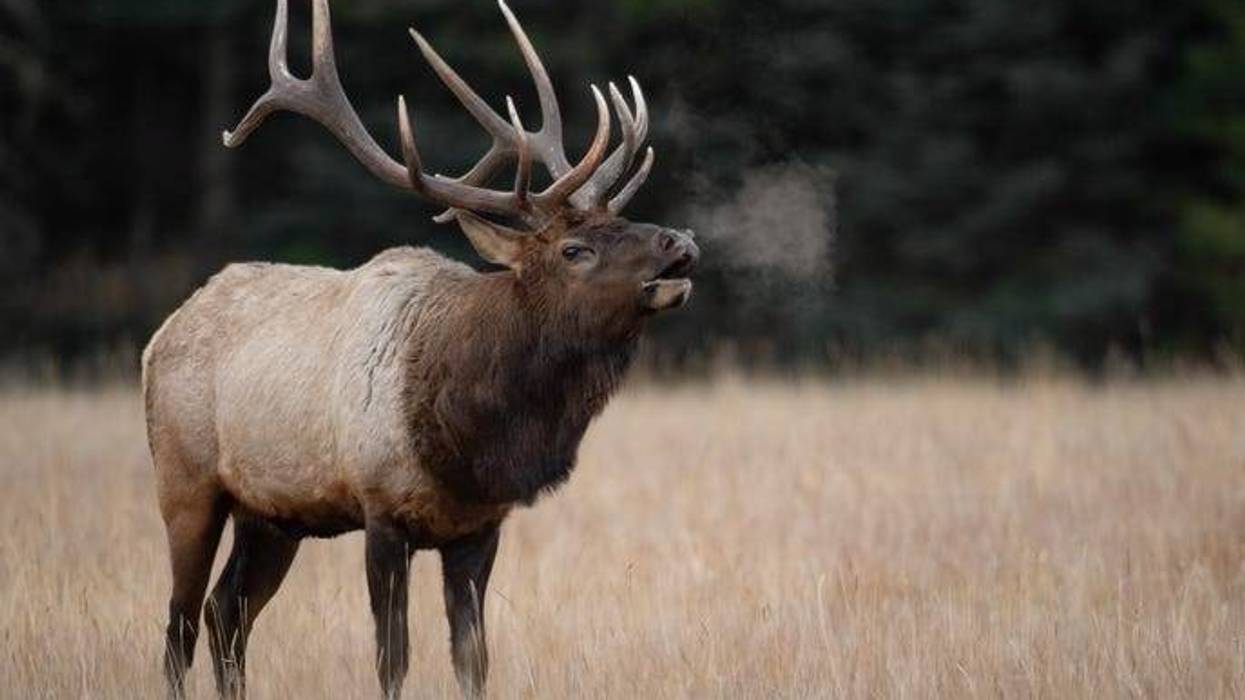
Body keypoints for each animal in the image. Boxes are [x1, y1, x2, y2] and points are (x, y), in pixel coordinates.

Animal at [141, 0, 698, 698]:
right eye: (576, 249)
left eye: (624, 222)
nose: (680, 241)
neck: (471, 438)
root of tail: (161, 333)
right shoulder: (381, 510)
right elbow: (393, 657)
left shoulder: (479, 527)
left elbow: (473, 658)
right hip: (186, 481)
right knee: (180, 624)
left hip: (272, 514)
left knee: (226, 615)